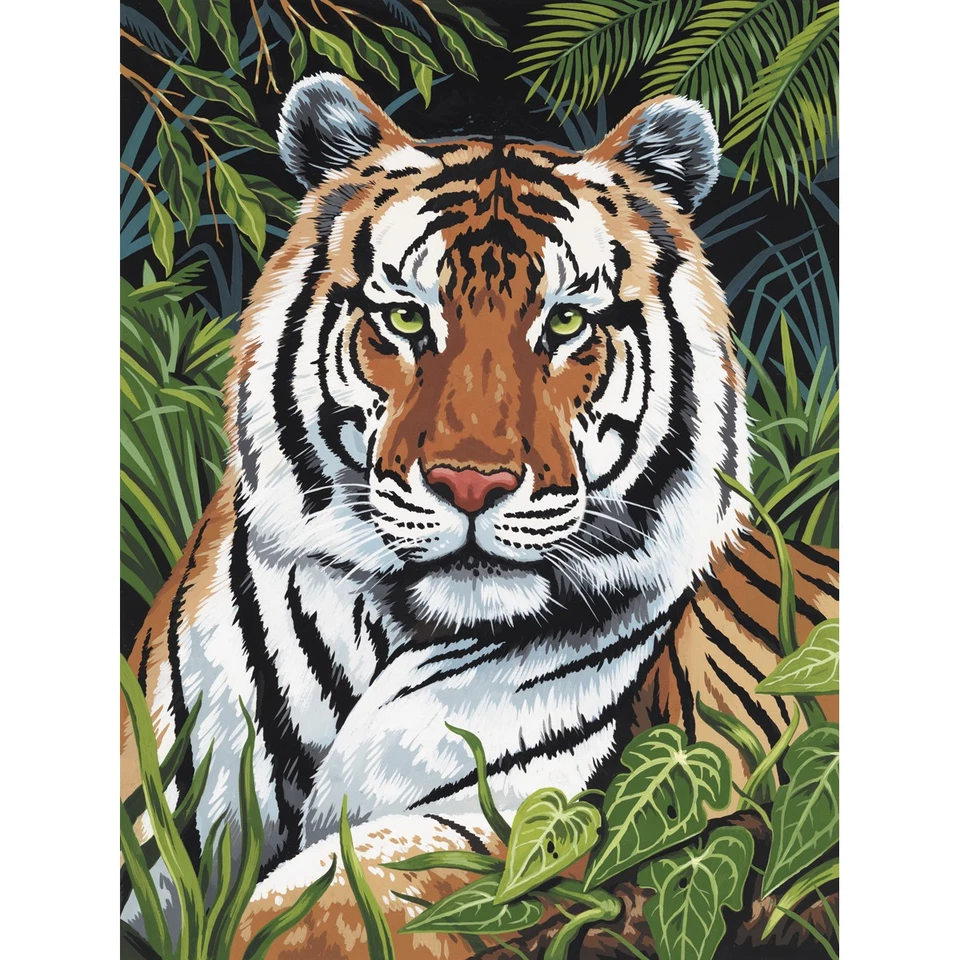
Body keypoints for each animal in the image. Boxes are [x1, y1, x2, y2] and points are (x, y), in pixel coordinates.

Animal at [120, 73, 838, 958]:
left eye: (565, 321)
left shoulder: (530, 826)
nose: (471, 484)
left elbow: (333, 901)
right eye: (405, 317)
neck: (386, 631)